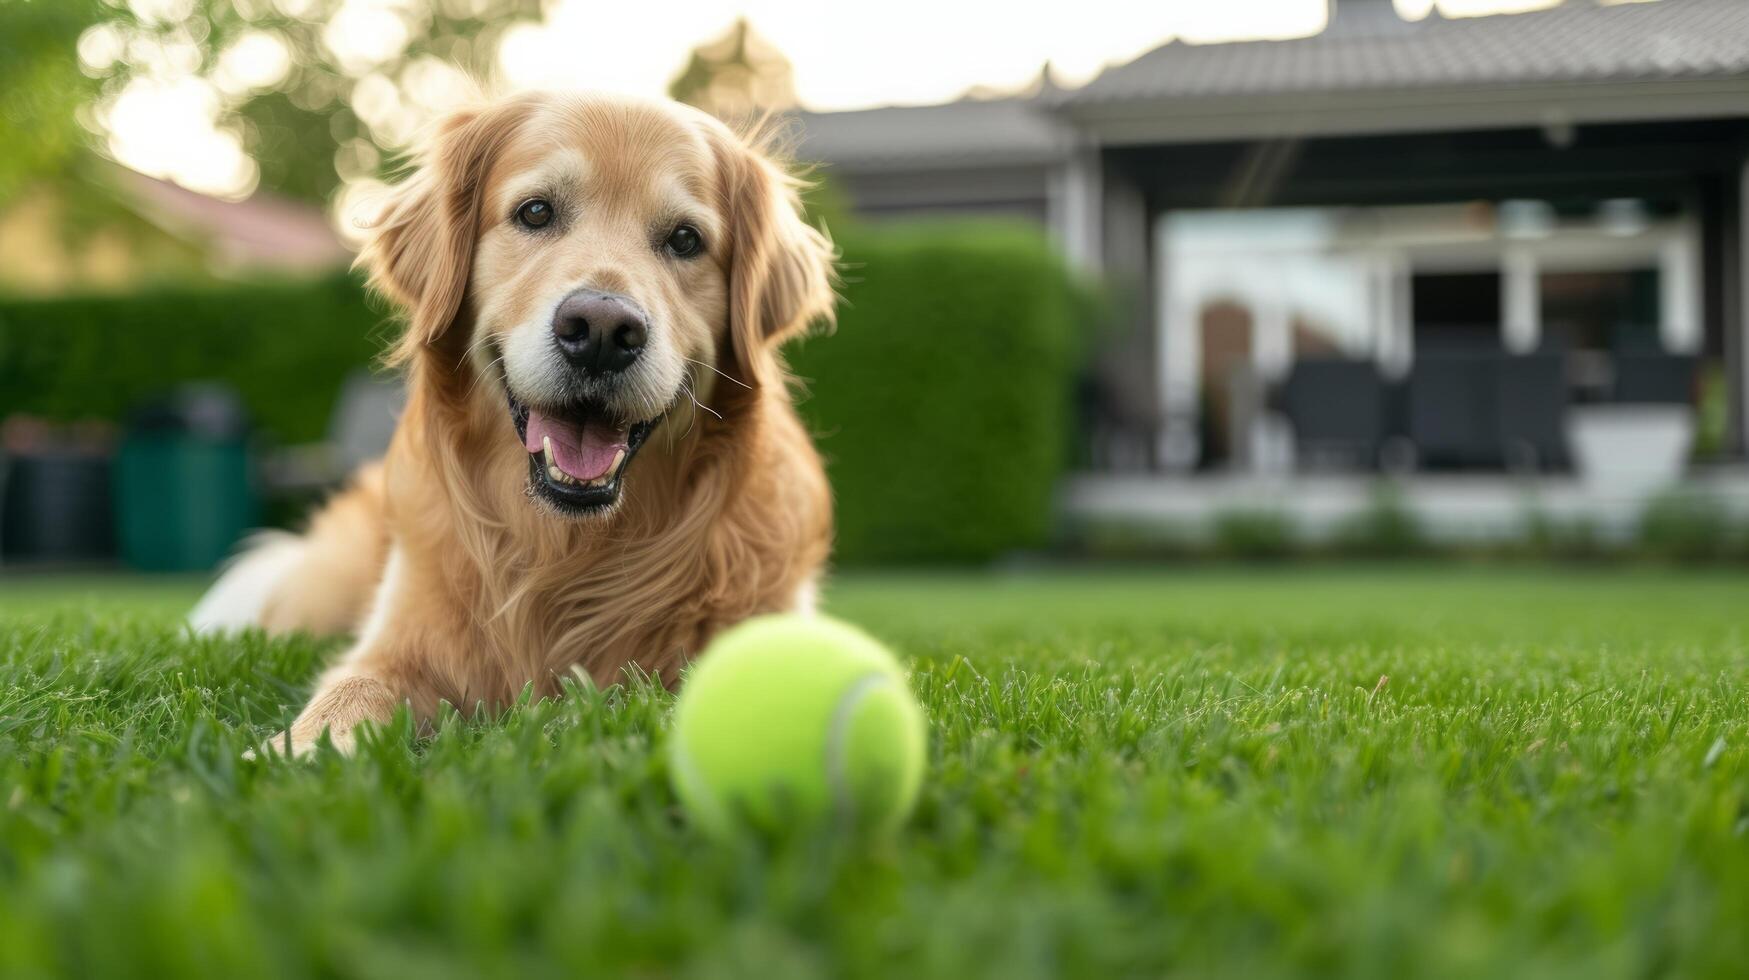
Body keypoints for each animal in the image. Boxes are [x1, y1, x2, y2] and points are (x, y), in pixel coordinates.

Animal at [191, 90, 839, 749]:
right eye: (535, 212)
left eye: (685, 239)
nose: (601, 332)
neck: (566, 546)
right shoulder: (399, 637)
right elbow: (348, 693)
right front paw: (292, 751)